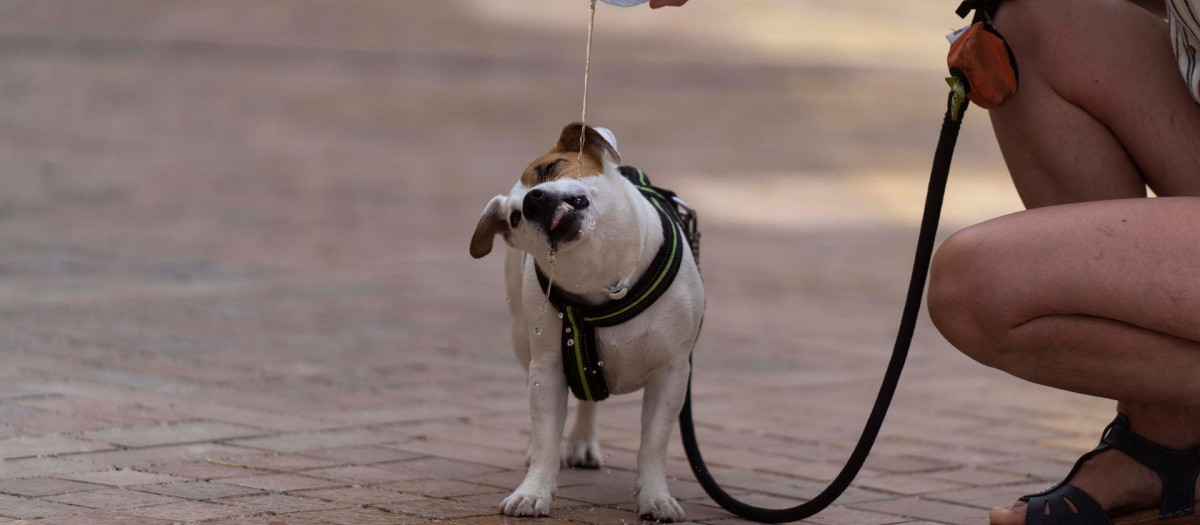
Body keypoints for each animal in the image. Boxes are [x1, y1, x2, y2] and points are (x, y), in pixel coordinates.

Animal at [468, 122, 705, 520]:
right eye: (515, 218)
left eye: (549, 169)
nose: (531, 202)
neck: (602, 275)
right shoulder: (547, 369)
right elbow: (546, 434)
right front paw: (533, 491)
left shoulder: (672, 372)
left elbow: (653, 442)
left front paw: (655, 497)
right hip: (523, 340)